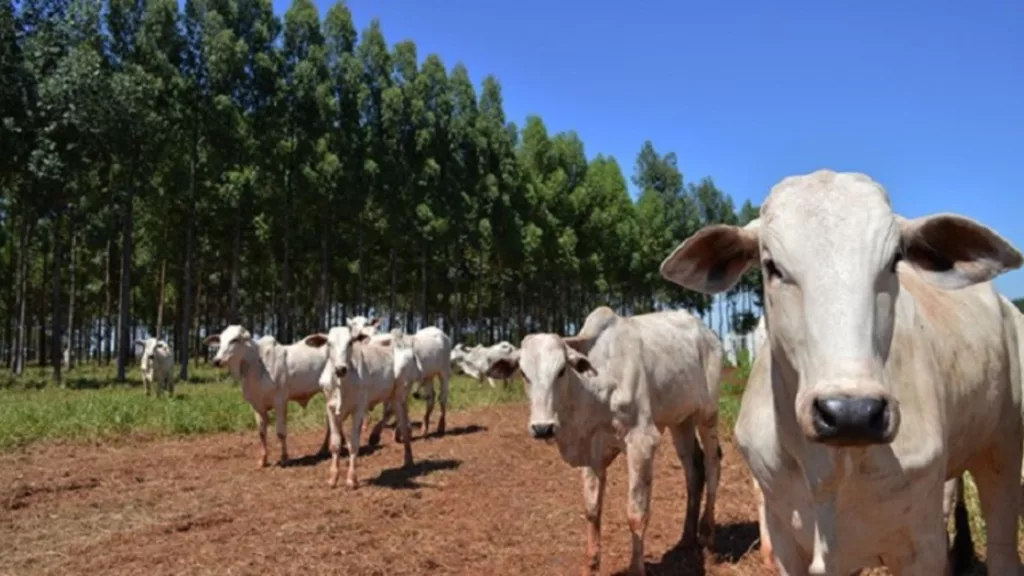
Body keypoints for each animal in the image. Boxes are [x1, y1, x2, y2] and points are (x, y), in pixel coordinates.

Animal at [199, 323, 327, 467]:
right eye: (220, 341)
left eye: (235, 340)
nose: (216, 360)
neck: (255, 366)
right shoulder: (256, 405)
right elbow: (261, 432)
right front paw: (263, 459)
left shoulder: (280, 402)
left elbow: (281, 432)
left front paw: (284, 458)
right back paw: (323, 450)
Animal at [301, 325, 413, 485]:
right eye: (329, 343)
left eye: (350, 343)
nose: (340, 369)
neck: (341, 385)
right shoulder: (331, 409)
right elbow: (335, 443)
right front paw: (333, 477)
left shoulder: (359, 409)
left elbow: (354, 443)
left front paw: (351, 478)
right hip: (391, 396)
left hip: (399, 393)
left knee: (401, 423)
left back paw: (407, 459)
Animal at [485, 305, 720, 573]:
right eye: (524, 374)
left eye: (561, 370)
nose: (543, 428)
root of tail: (707, 333)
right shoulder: (591, 452)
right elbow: (592, 509)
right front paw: (591, 565)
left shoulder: (642, 441)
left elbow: (636, 513)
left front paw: (636, 569)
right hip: (681, 420)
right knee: (694, 469)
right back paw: (686, 539)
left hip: (708, 414)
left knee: (713, 464)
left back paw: (708, 536)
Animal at [659, 169, 1019, 573]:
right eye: (772, 266)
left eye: (894, 260)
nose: (852, 413)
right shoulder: (785, 537)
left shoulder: (921, 544)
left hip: (1003, 451)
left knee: (1003, 548)